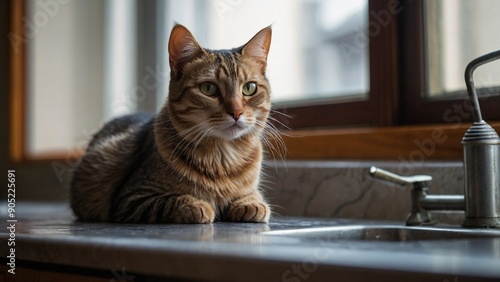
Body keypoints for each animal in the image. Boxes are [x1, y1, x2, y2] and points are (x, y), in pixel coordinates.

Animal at [69, 23, 276, 224]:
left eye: (249, 88)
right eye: (208, 88)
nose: (236, 112)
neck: (223, 158)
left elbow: (253, 195)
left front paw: (251, 203)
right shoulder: (131, 197)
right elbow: (171, 200)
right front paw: (197, 205)